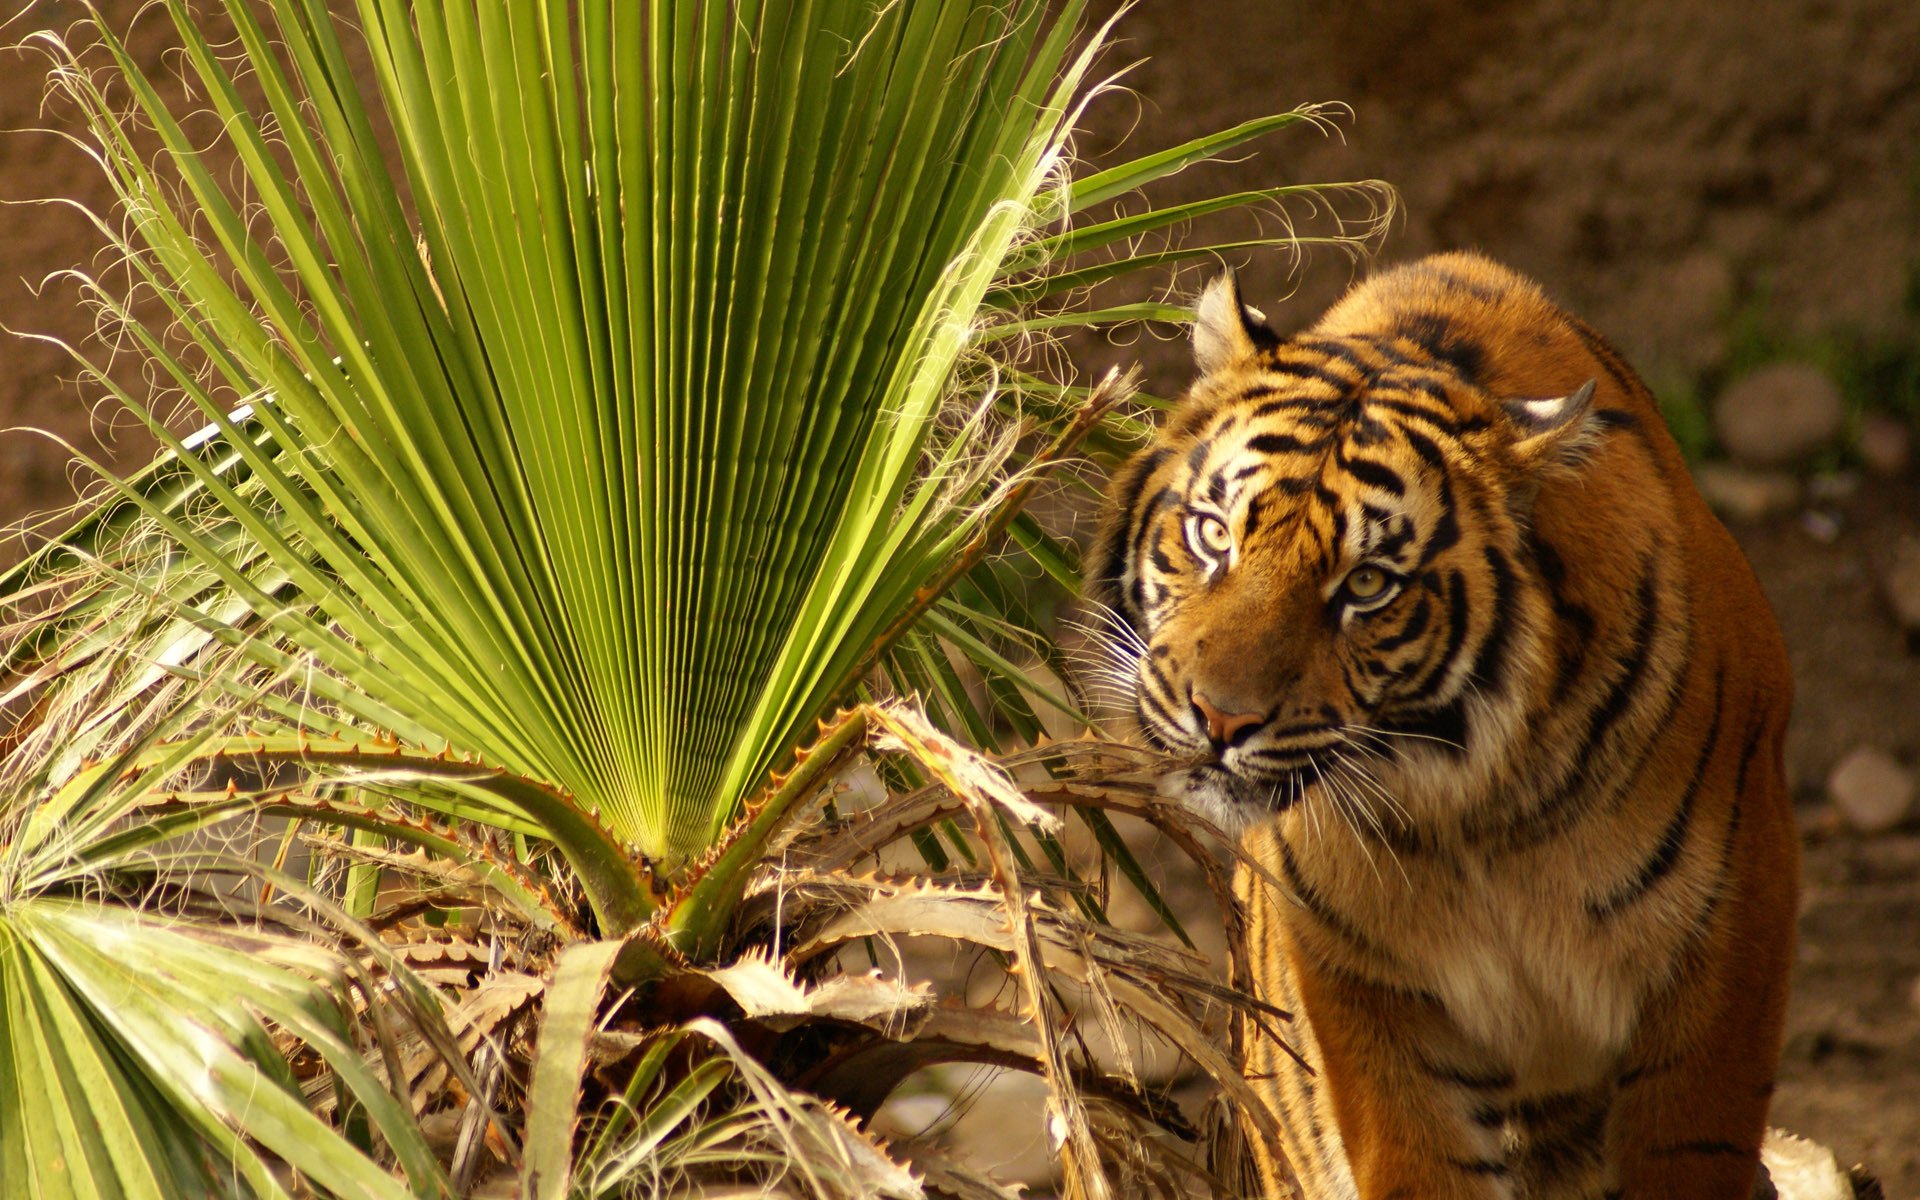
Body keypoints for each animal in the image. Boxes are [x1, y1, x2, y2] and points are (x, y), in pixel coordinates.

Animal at [1084, 252, 1799, 1199]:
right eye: (1211, 536)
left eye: (1367, 585)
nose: (1220, 718)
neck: (1472, 812)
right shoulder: (1365, 989)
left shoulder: (1726, 943)